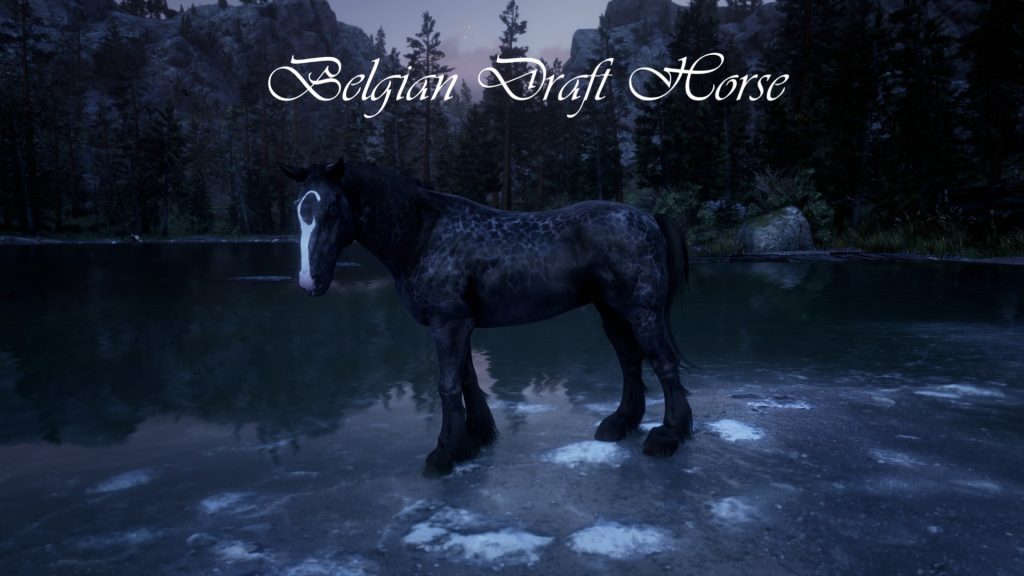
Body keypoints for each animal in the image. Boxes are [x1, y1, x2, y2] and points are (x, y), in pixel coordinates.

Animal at [279, 157, 694, 477]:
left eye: (333, 208)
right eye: (299, 209)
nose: (310, 281)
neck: (421, 235)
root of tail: (648, 217)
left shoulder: (448, 323)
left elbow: (448, 385)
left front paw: (445, 452)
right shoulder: (457, 324)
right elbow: (466, 380)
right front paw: (474, 438)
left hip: (642, 312)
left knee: (664, 365)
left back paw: (668, 436)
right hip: (612, 311)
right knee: (630, 362)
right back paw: (620, 423)